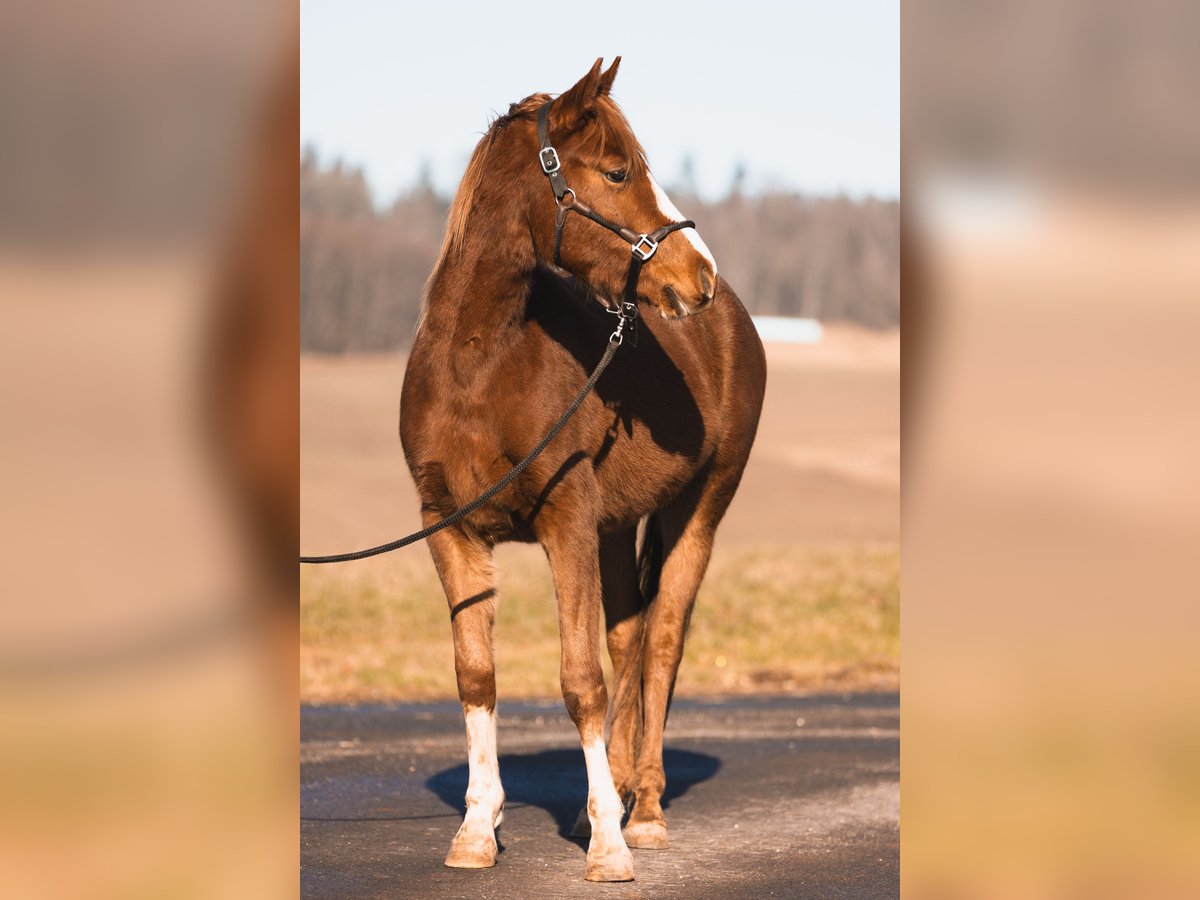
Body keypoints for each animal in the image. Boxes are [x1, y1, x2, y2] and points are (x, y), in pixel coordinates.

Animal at [398, 58, 763, 888]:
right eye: (618, 169)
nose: (698, 275)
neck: (479, 367)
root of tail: (732, 323)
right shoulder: (450, 529)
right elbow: (477, 675)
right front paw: (477, 829)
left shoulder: (566, 520)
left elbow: (580, 680)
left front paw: (608, 846)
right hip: (617, 526)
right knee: (630, 637)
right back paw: (624, 790)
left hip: (701, 509)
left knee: (661, 642)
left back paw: (646, 811)